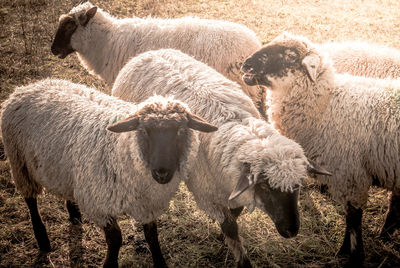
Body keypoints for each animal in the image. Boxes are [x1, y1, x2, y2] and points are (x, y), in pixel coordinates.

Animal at [0, 78, 219, 266]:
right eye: (144, 131)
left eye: (181, 131)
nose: (162, 173)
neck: (123, 149)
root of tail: (29, 86)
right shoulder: (100, 204)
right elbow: (115, 240)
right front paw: (109, 264)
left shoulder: (147, 204)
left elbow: (152, 237)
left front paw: (160, 262)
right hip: (20, 162)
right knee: (30, 201)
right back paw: (42, 239)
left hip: (64, 169)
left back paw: (74, 214)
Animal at [108, 48, 328, 268]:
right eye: (265, 187)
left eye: (298, 186)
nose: (291, 231)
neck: (235, 125)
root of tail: (149, 52)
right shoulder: (208, 194)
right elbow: (230, 227)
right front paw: (237, 253)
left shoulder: (232, 187)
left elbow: (235, 214)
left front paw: (223, 235)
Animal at [241, 32, 400, 266]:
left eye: (290, 56)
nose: (246, 64)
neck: (325, 106)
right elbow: (350, 218)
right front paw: (344, 251)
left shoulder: (351, 176)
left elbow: (353, 219)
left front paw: (352, 255)